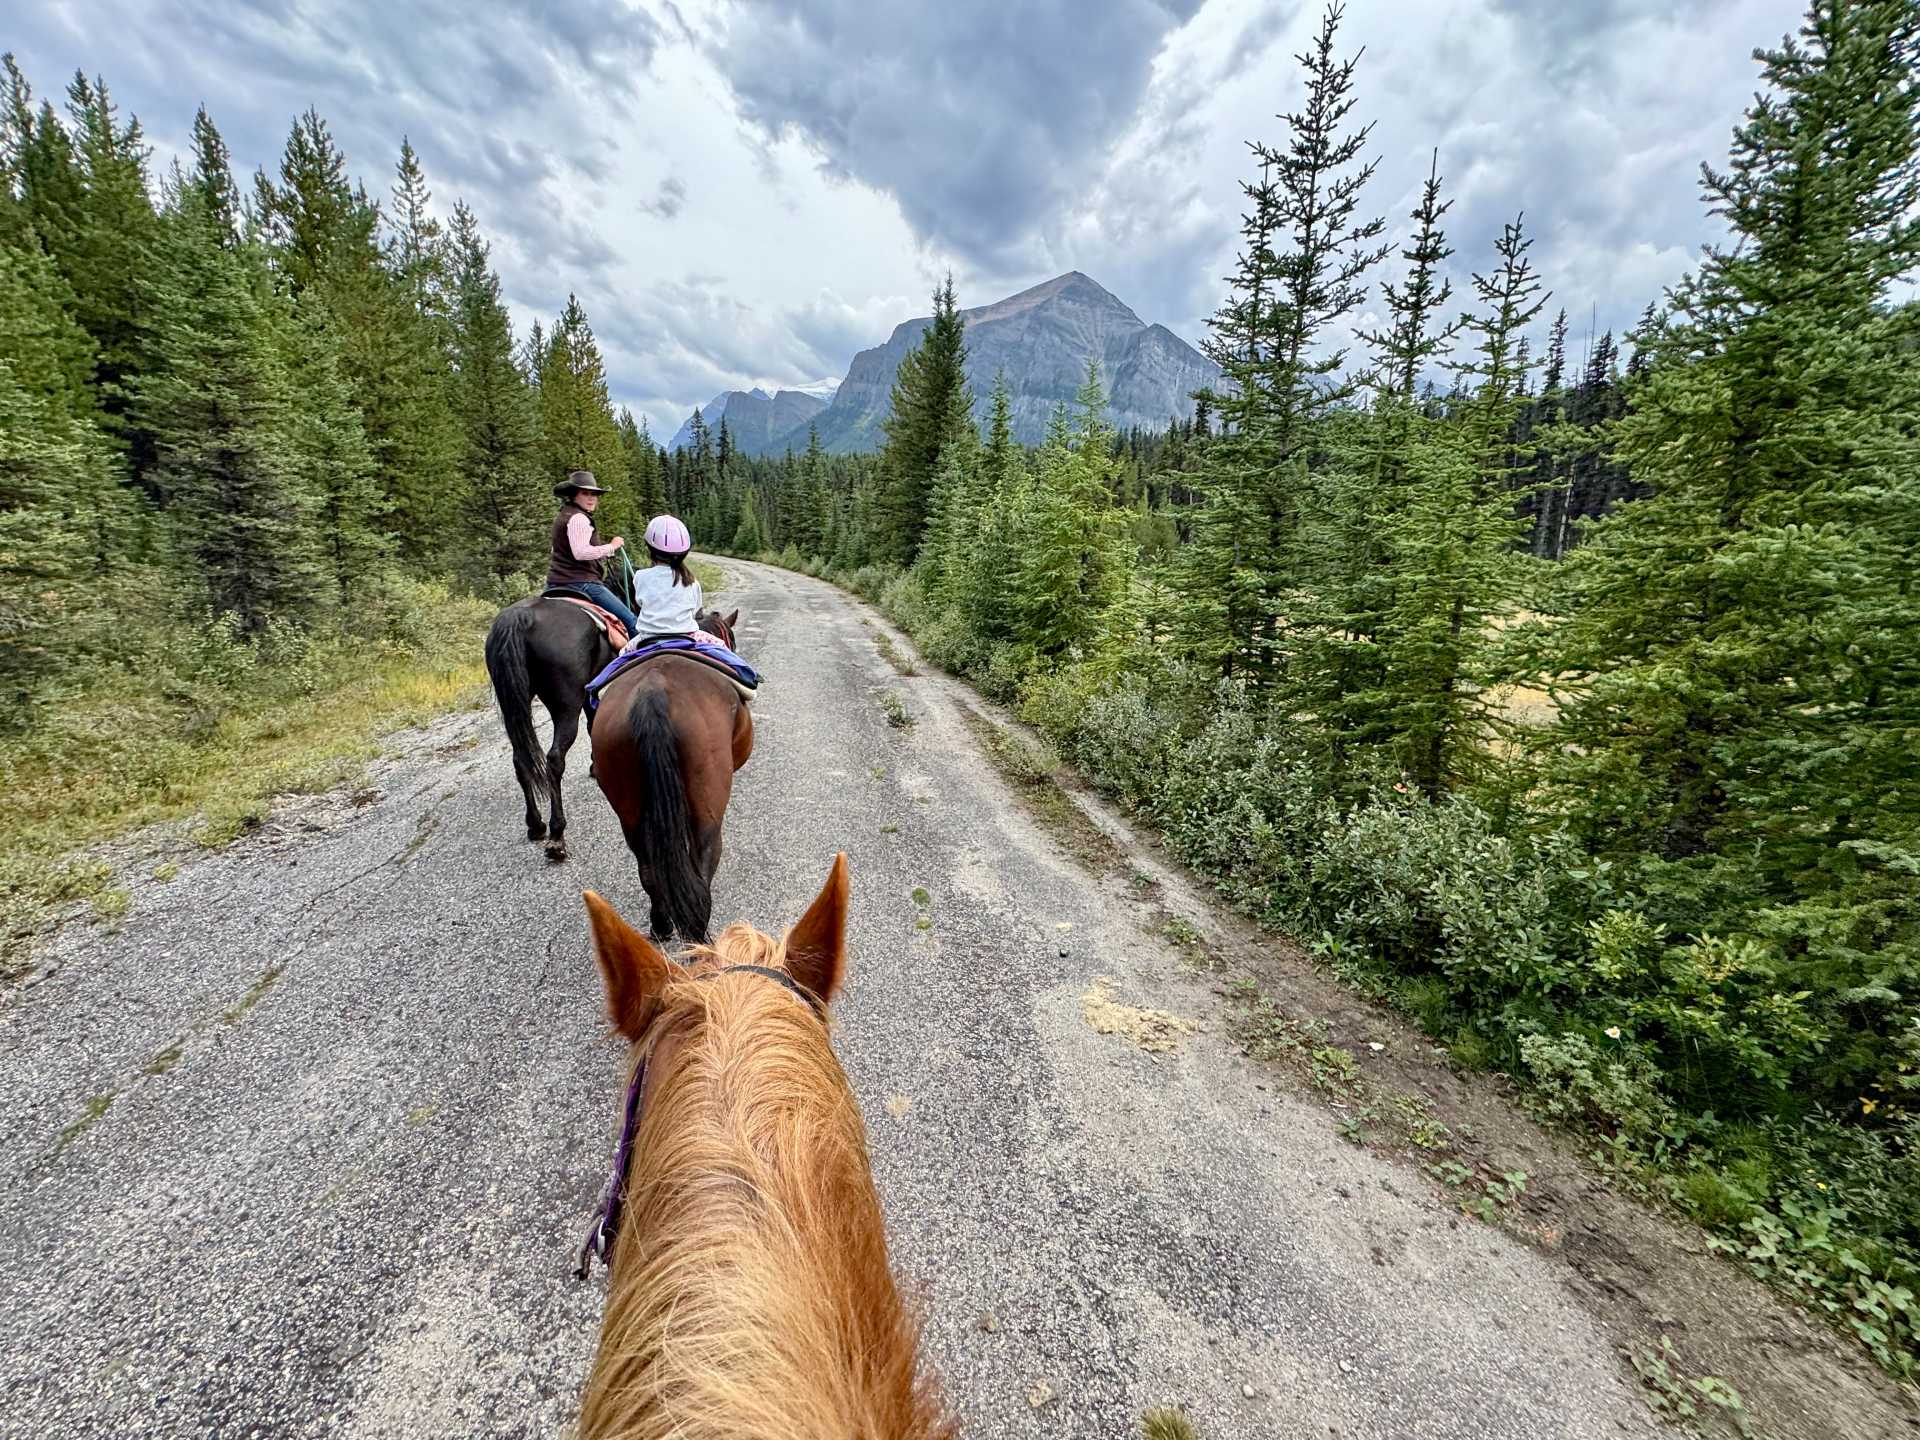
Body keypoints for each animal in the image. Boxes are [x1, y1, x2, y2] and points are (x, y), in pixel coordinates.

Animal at [487, 595, 614, 864]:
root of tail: (521, 618)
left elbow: (592, 722)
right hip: (566, 705)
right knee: (555, 760)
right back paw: (557, 837)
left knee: (520, 760)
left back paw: (535, 825)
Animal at [587, 610, 744, 948]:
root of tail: (653, 692)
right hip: (708, 809)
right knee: (702, 868)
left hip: (628, 807)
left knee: (647, 868)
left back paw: (661, 926)